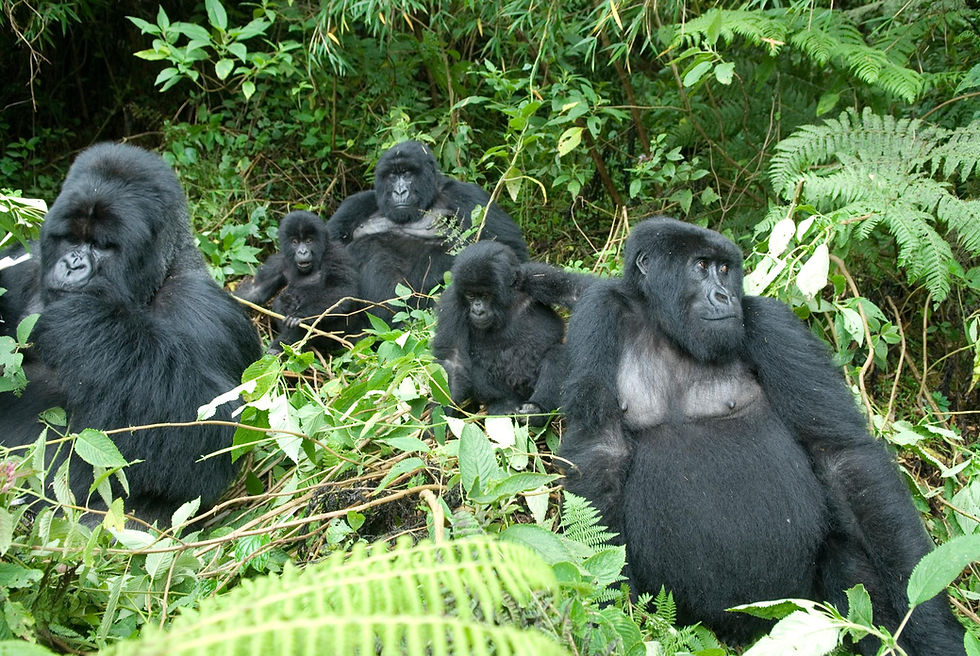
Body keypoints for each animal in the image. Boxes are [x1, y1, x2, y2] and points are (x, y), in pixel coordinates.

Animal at [0, 144, 262, 528]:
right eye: (71, 238)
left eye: (102, 245)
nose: (73, 265)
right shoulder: (21, 265)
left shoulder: (206, 310)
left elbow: (217, 434)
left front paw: (85, 319)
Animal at [237, 210, 364, 354]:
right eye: (295, 242)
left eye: (309, 241)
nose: (302, 252)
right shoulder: (278, 261)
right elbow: (256, 291)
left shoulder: (336, 254)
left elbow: (342, 290)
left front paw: (300, 315)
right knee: (281, 300)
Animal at [328, 140, 528, 318]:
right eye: (392, 175)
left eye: (407, 174)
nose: (399, 192)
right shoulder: (356, 204)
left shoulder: (468, 195)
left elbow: (509, 250)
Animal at [430, 242, 588, 426]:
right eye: (470, 295)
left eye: (485, 295)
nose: (477, 310)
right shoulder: (452, 303)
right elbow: (453, 361)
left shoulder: (534, 276)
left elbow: (578, 292)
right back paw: (504, 404)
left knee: (557, 354)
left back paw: (536, 410)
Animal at [560, 217, 964, 656]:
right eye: (700, 266)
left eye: (724, 269)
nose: (724, 296)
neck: (667, 327)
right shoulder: (598, 312)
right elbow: (601, 452)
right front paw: (611, 614)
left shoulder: (772, 321)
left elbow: (842, 456)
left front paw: (931, 623)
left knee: (849, 563)